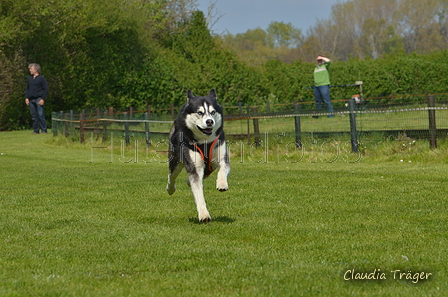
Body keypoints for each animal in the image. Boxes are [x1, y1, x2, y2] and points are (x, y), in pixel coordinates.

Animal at [167, 89, 231, 221]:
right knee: (172, 175)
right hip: (175, 160)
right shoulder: (194, 167)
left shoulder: (222, 157)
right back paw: (170, 189)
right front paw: (204, 215)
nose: (209, 121)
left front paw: (222, 183)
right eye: (200, 112)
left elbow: (223, 169)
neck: (204, 142)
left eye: (212, 112)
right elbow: (198, 193)